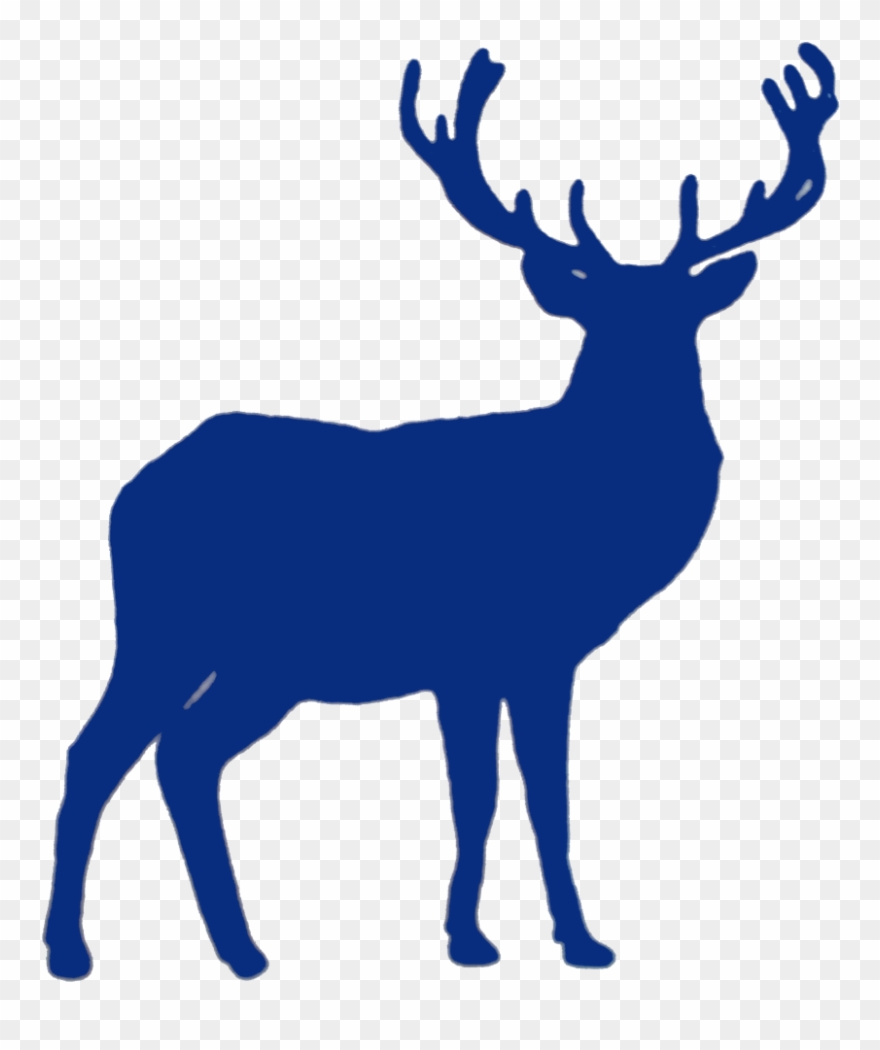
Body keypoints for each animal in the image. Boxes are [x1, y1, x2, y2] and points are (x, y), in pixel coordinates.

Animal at [44, 43, 838, 980]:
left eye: (683, 320)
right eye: (597, 320)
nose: (650, 400)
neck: (587, 514)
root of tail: (129, 493)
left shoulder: (529, 658)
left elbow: (531, 796)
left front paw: (553, 937)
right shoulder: (478, 650)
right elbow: (493, 795)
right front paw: (493, 939)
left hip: (262, 664)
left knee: (183, 755)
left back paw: (239, 950)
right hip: (167, 627)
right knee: (100, 752)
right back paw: (72, 951)